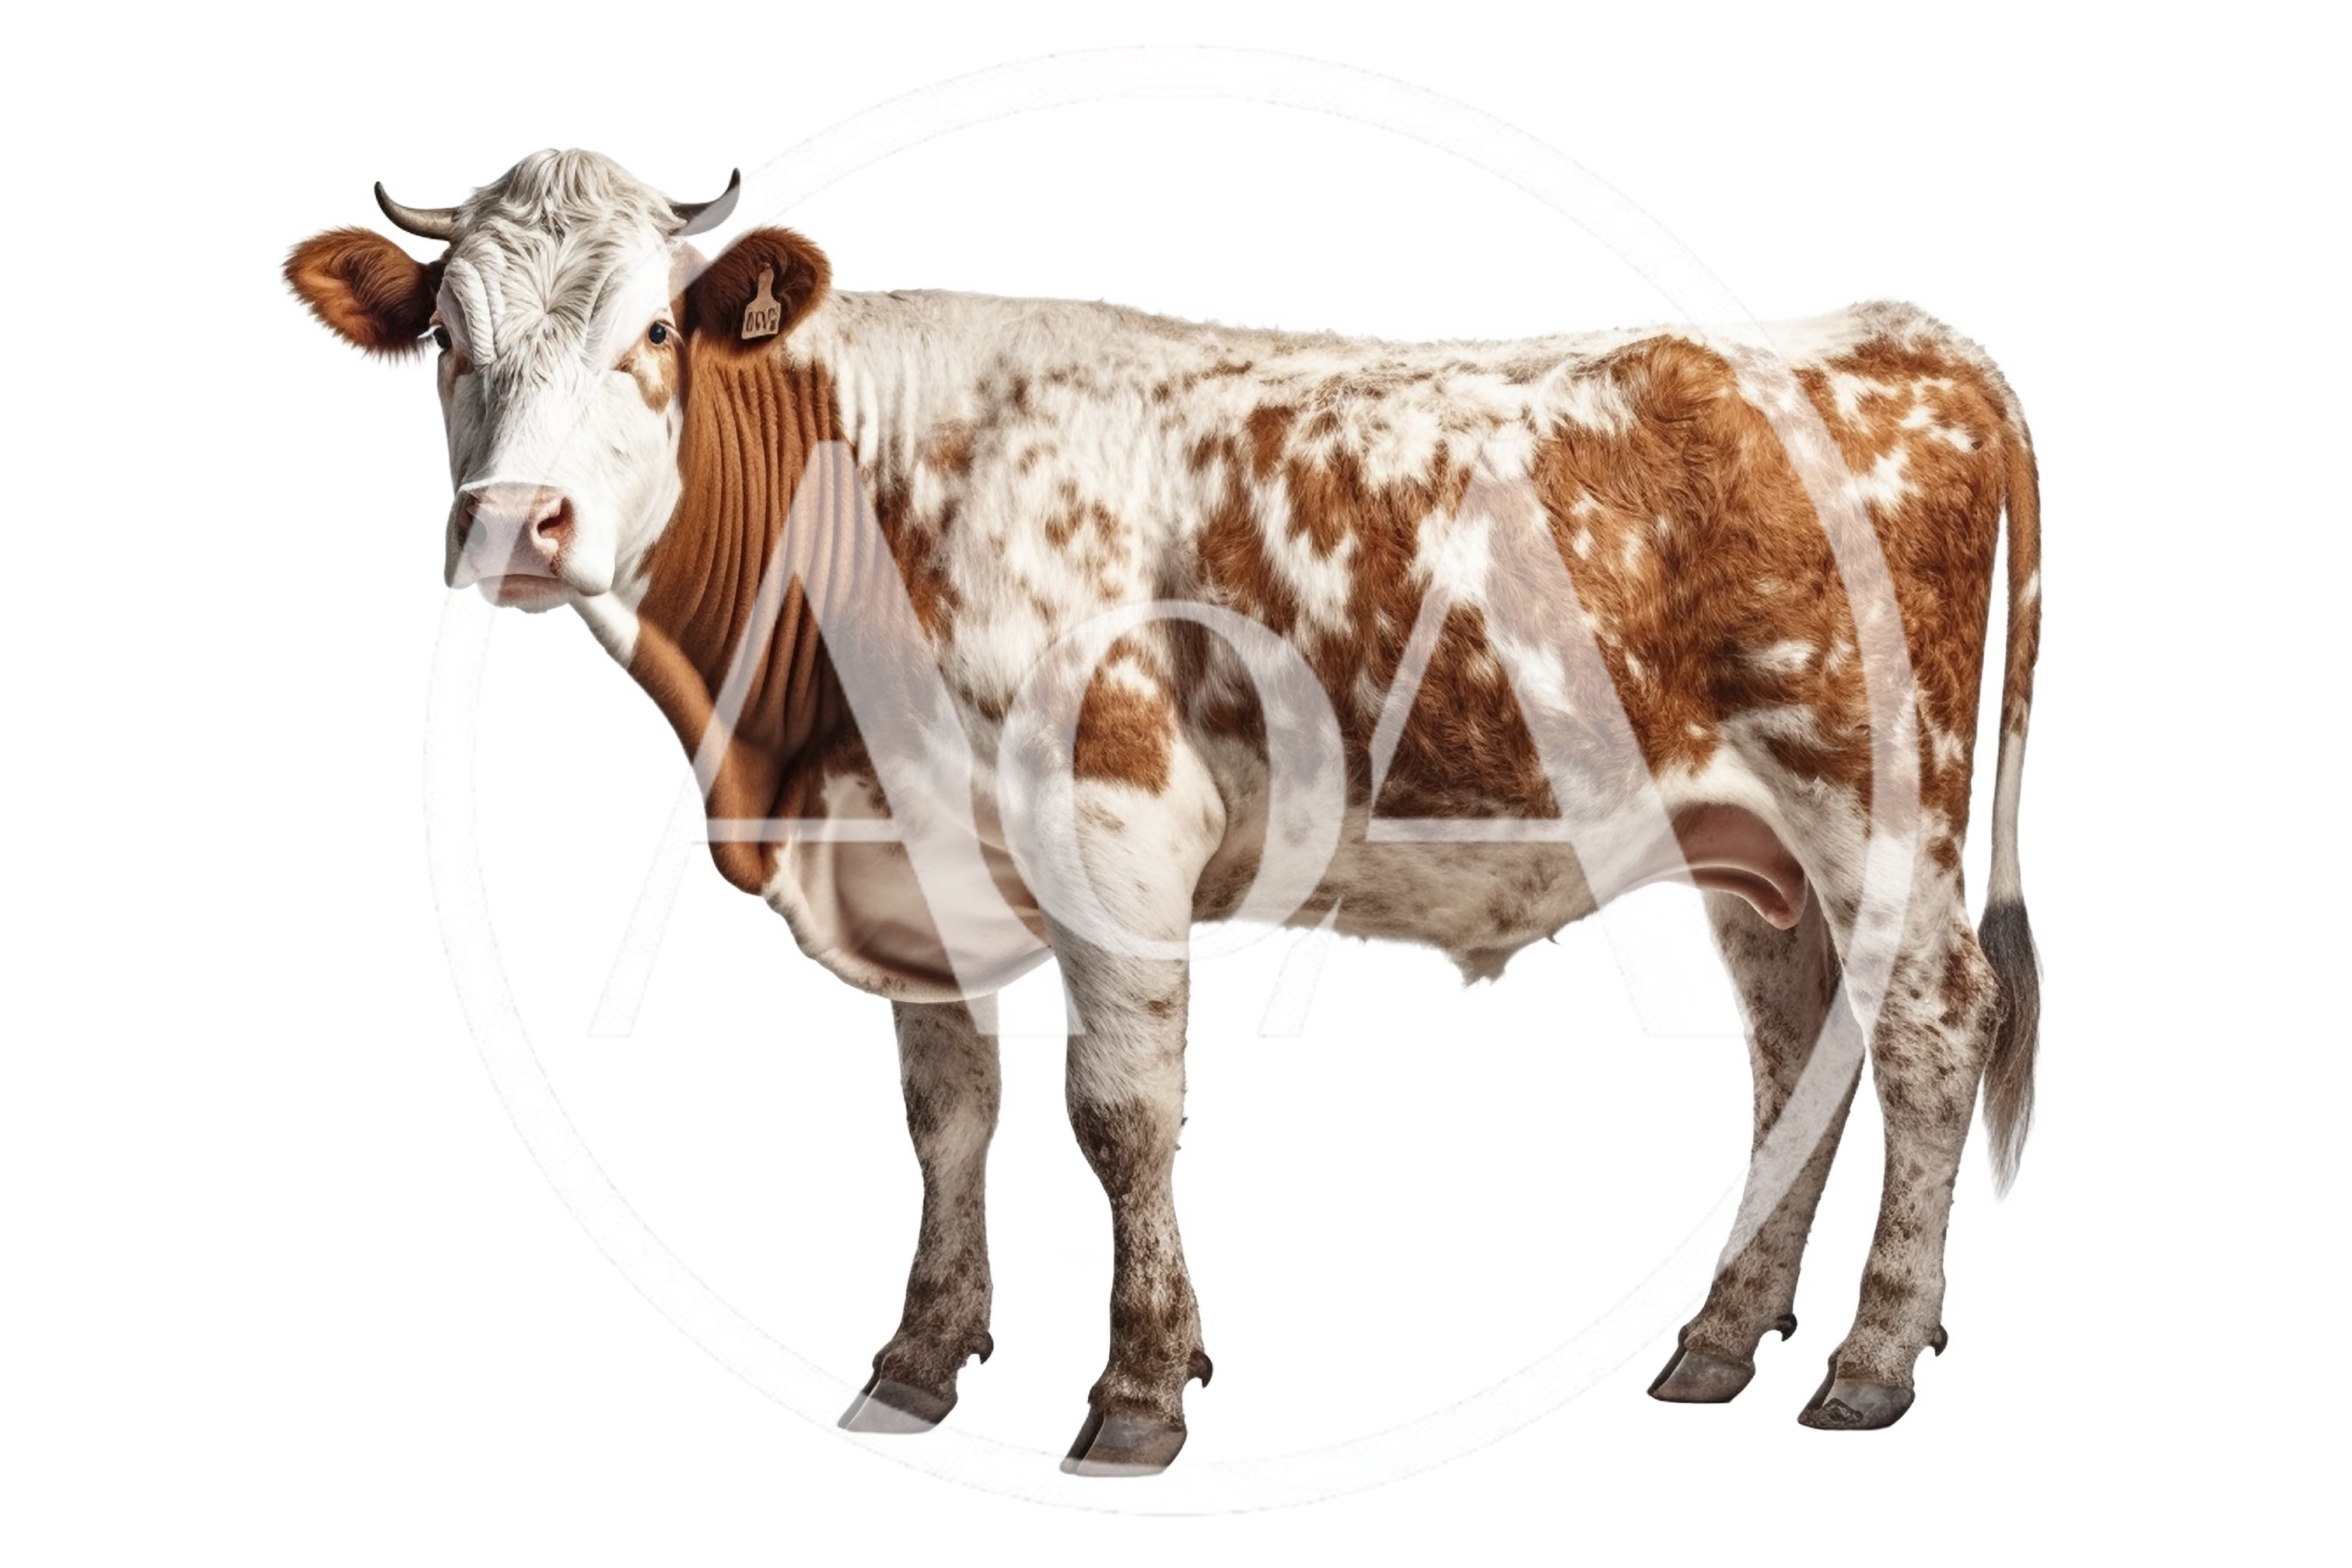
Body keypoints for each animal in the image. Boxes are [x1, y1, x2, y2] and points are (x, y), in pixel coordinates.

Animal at [286, 148, 2042, 1473]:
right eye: (445, 338)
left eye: (654, 330)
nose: (515, 522)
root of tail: (1900, 339)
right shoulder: (916, 853)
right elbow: (948, 1116)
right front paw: (918, 1360)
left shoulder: (1116, 833)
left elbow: (1117, 1120)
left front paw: (1137, 1392)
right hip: (1749, 849)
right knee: (1800, 1044)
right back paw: (1720, 1340)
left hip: (1874, 798)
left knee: (1935, 1027)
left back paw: (1870, 1360)